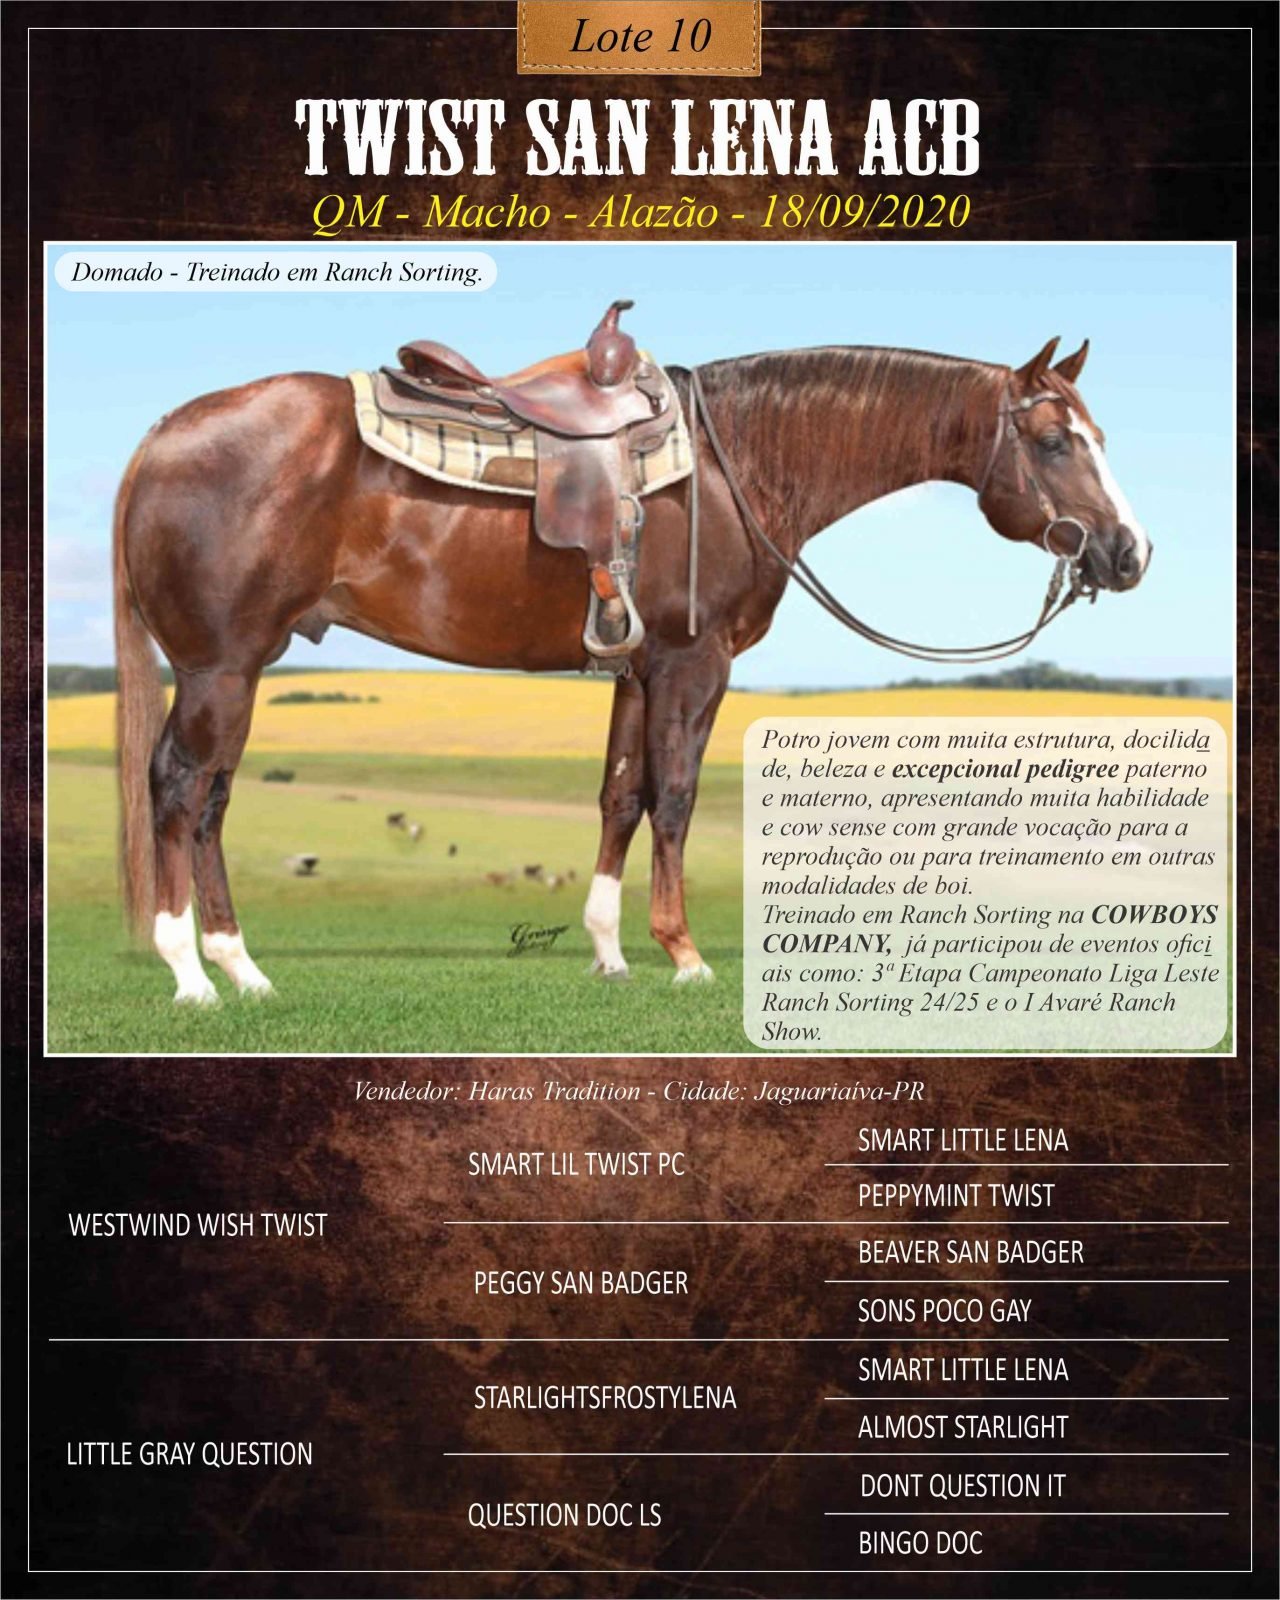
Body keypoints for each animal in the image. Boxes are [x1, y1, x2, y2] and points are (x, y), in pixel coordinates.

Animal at [111, 332, 1150, 1004]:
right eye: (1053, 441)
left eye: (1099, 439)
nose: (1129, 553)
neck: (737, 468)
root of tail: (162, 433)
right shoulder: (695, 664)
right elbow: (678, 796)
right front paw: (683, 955)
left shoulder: (636, 672)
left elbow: (622, 795)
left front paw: (610, 952)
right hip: (219, 669)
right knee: (177, 787)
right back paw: (189, 973)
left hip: (245, 670)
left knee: (212, 800)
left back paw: (242, 968)